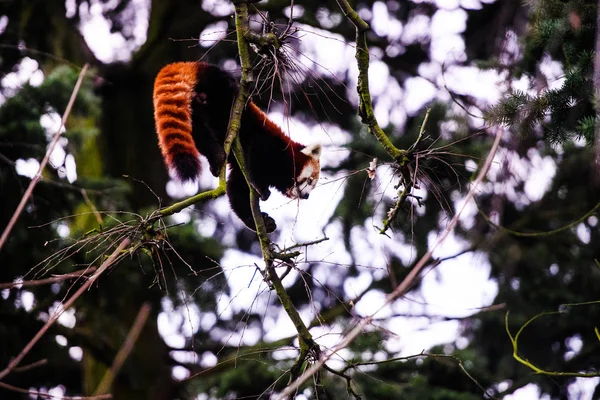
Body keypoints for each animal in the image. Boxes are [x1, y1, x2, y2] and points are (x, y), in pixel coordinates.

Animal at [155, 61, 322, 233]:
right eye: (310, 181)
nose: (307, 196)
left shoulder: (241, 169)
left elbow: (237, 189)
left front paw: (259, 221)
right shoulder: (267, 143)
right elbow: (256, 154)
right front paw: (262, 190)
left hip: (194, 108)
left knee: (198, 129)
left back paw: (216, 158)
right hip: (219, 87)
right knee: (226, 91)